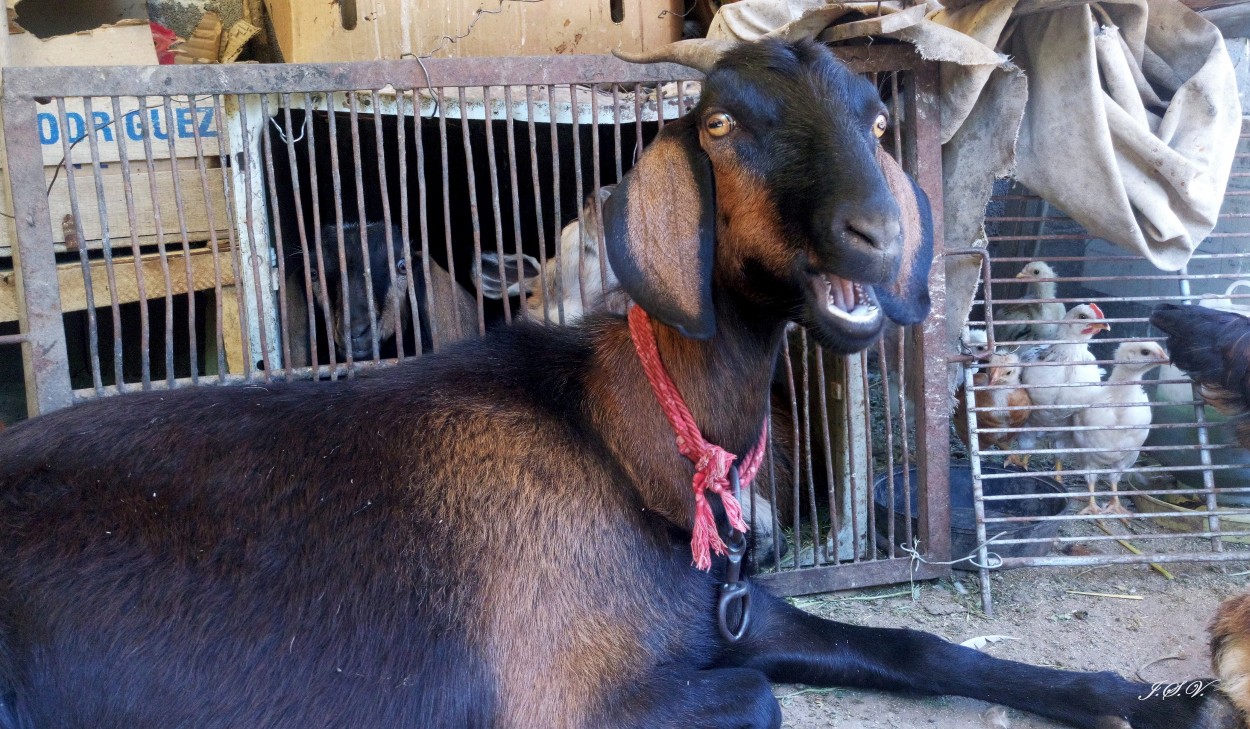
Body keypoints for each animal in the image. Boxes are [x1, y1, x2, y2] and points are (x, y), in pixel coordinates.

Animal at [0, 38, 1240, 729]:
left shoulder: (727, 612)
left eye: (877, 116)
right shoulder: (573, 691)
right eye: (723, 125)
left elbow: (923, 650)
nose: (878, 236)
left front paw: (1150, 702)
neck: (622, 436)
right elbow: (756, 699)